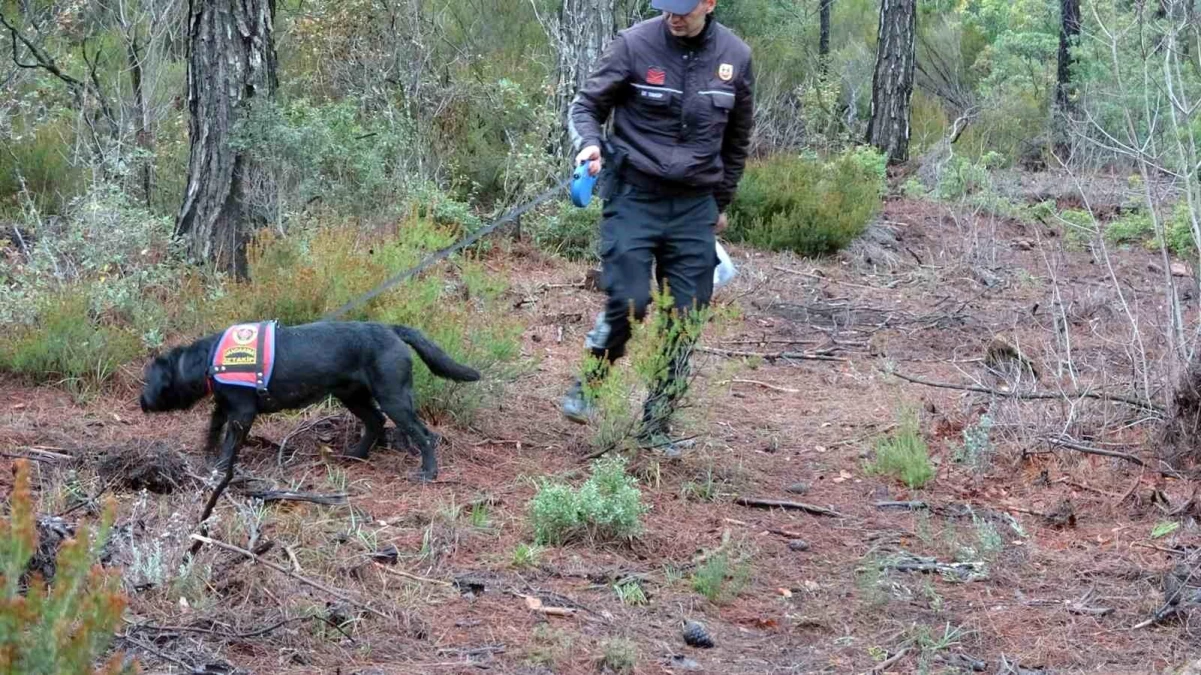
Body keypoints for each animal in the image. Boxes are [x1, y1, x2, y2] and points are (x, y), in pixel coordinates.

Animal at [140, 319, 477, 480]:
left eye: (149, 380)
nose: (141, 401)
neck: (209, 359)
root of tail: (392, 329)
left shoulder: (242, 413)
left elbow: (229, 444)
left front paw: (221, 469)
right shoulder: (224, 407)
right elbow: (212, 431)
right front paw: (206, 457)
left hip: (393, 396)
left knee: (422, 433)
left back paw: (428, 472)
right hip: (353, 395)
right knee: (377, 421)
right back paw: (356, 454)